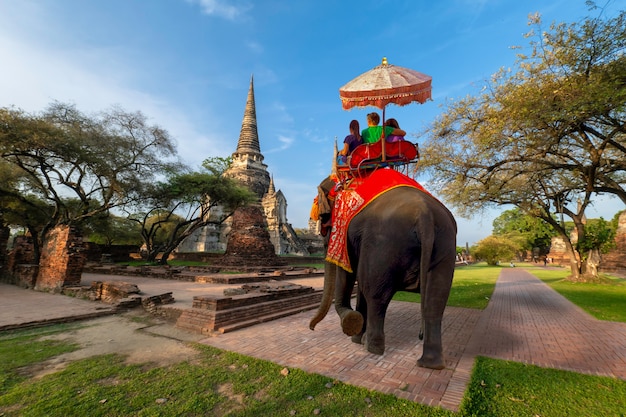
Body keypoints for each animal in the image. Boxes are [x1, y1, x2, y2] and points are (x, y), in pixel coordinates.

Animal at [310, 171, 456, 368]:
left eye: (324, 217)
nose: (312, 328)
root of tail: (425, 216)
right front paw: (355, 334)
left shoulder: (347, 233)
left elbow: (350, 275)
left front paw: (354, 330)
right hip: (444, 244)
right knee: (435, 300)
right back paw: (430, 364)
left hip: (383, 245)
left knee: (375, 294)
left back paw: (372, 347)